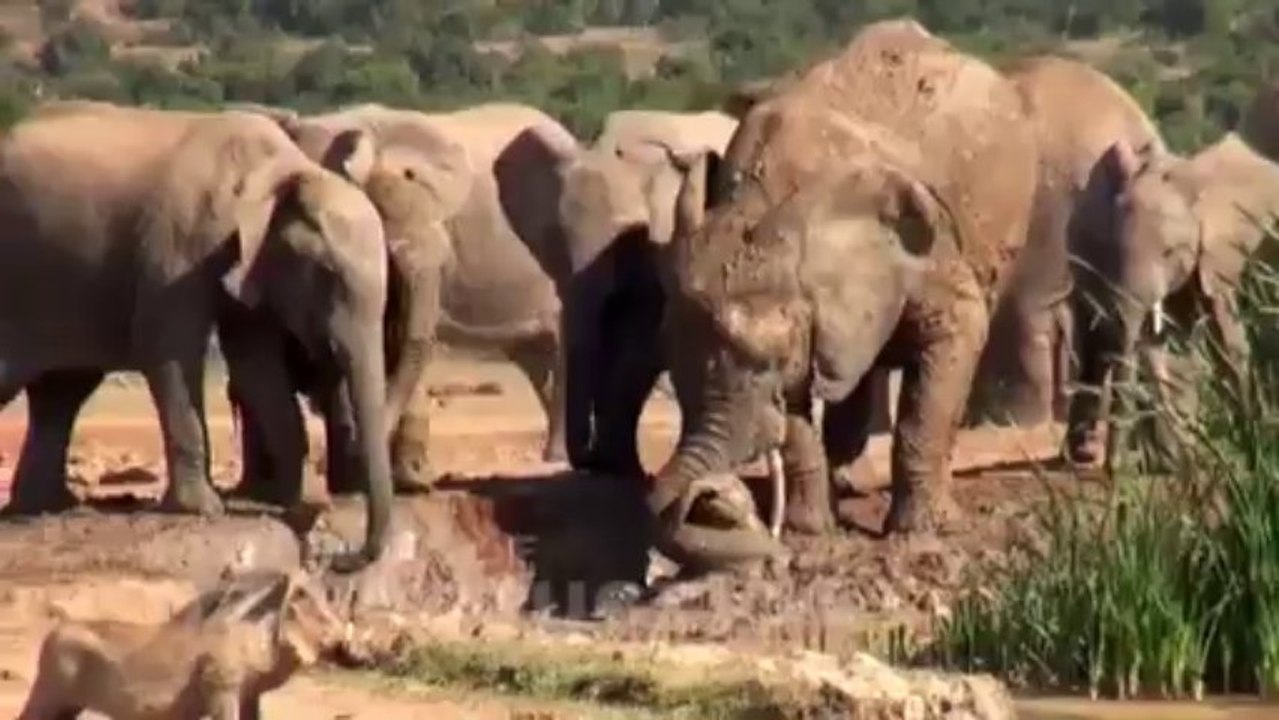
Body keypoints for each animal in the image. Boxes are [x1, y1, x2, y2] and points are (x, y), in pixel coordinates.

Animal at [0, 101, 394, 570]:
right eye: (328, 274)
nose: (342, 559)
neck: (280, 171)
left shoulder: (248, 265)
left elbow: (256, 365)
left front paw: (307, 505)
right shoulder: (179, 248)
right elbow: (170, 352)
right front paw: (204, 510)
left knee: (63, 390)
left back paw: (48, 507)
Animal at [645, 19, 1039, 572]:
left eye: (767, 360)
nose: (713, 498)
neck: (763, 200)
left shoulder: (929, 246)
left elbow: (951, 344)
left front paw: (921, 534)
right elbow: (797, 414)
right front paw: (811, 534)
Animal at [1064, 125, 1279, 468]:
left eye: (1169, 252)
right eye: (1111, 249)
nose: (1113, 469)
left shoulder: (1217, 256)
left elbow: (1227, 343)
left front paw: (1251, 450)